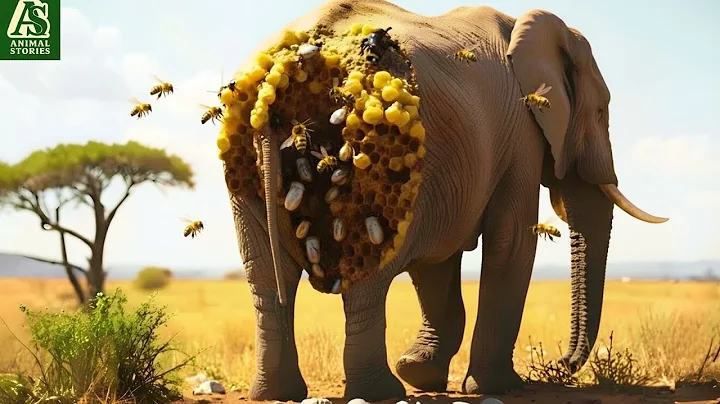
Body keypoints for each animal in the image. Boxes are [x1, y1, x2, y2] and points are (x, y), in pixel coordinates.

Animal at [224, 0, 668, 401]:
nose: (561, 364)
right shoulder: (521, 134)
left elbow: (438, 262)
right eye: (601, 111)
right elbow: (512, 243)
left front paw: (420, 373)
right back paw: (380, 393)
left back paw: (277, 393)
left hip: (248, 182)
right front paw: (499, 387)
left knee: (265, 276)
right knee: (365, 270)